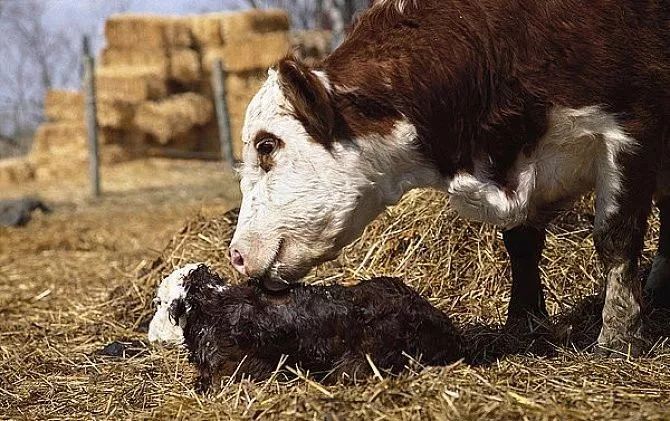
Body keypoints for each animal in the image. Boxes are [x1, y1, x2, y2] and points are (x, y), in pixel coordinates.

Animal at [230, 0, 670, 354]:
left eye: (266, 145)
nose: (235, 254)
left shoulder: (630, 132)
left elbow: (615, 238)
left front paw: (618, 333)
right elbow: (522, 245)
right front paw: (523, 322)